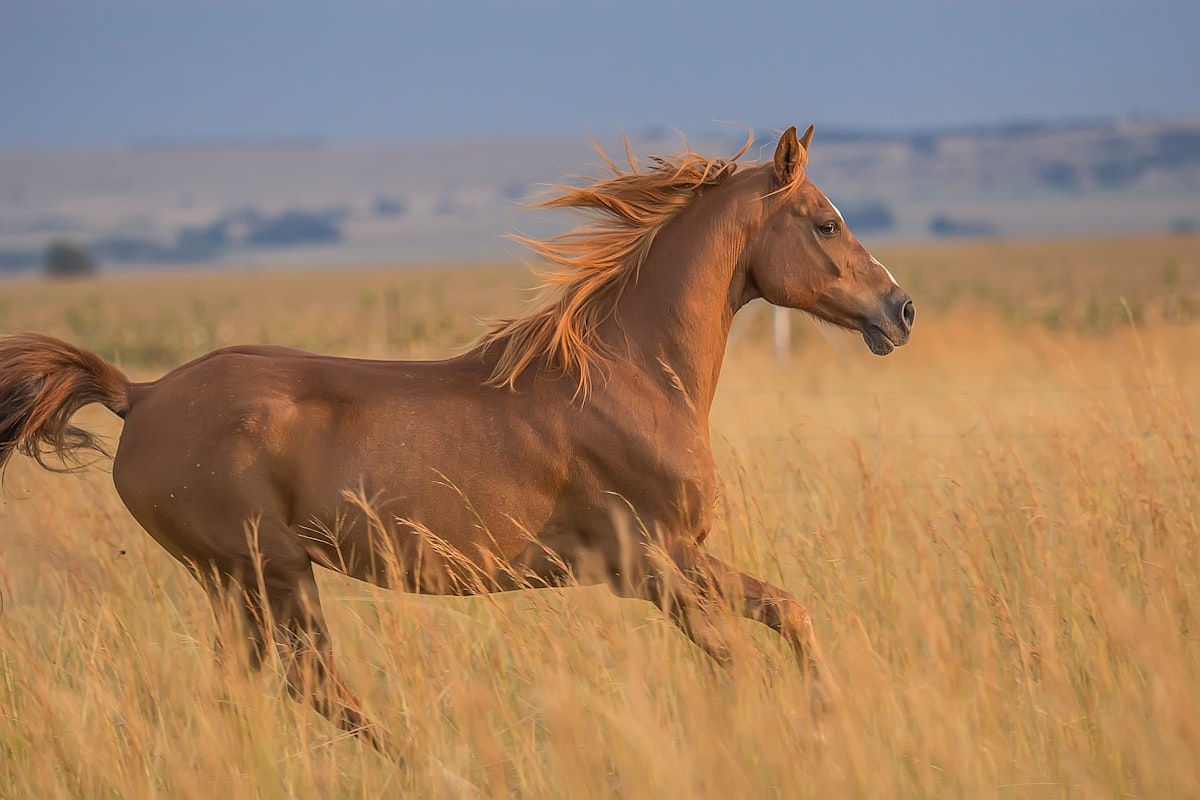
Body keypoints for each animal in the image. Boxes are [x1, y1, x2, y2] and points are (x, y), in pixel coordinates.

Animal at [0, 123, 912, 753]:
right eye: (826, 224)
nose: (899, 310)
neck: (630, 375)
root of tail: (142, 394)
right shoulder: (652, 565)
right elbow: (743, 658)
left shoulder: (681, 559)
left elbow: (788, 613)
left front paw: (826, 717)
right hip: (266, 572)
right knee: (316, 686)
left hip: (241, 583)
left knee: (258, 688)